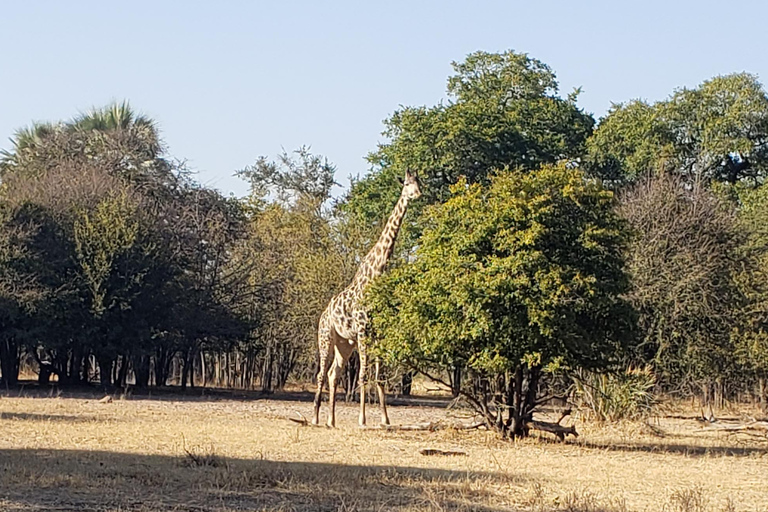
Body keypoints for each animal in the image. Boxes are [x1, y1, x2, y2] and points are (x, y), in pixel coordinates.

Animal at [310, 169, 420, 428]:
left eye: (419, 182)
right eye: (407, 184)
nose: (418, 194)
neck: (375, 274)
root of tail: (323, 314)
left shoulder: (378, 333)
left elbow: (378, 377)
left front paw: (385, 419)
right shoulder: (362, 330)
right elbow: (363, 375)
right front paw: (362, 419)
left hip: (344, 344)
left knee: (334, 374)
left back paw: (331, 420)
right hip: (326, 338)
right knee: (321, 374)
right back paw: (315, 417)